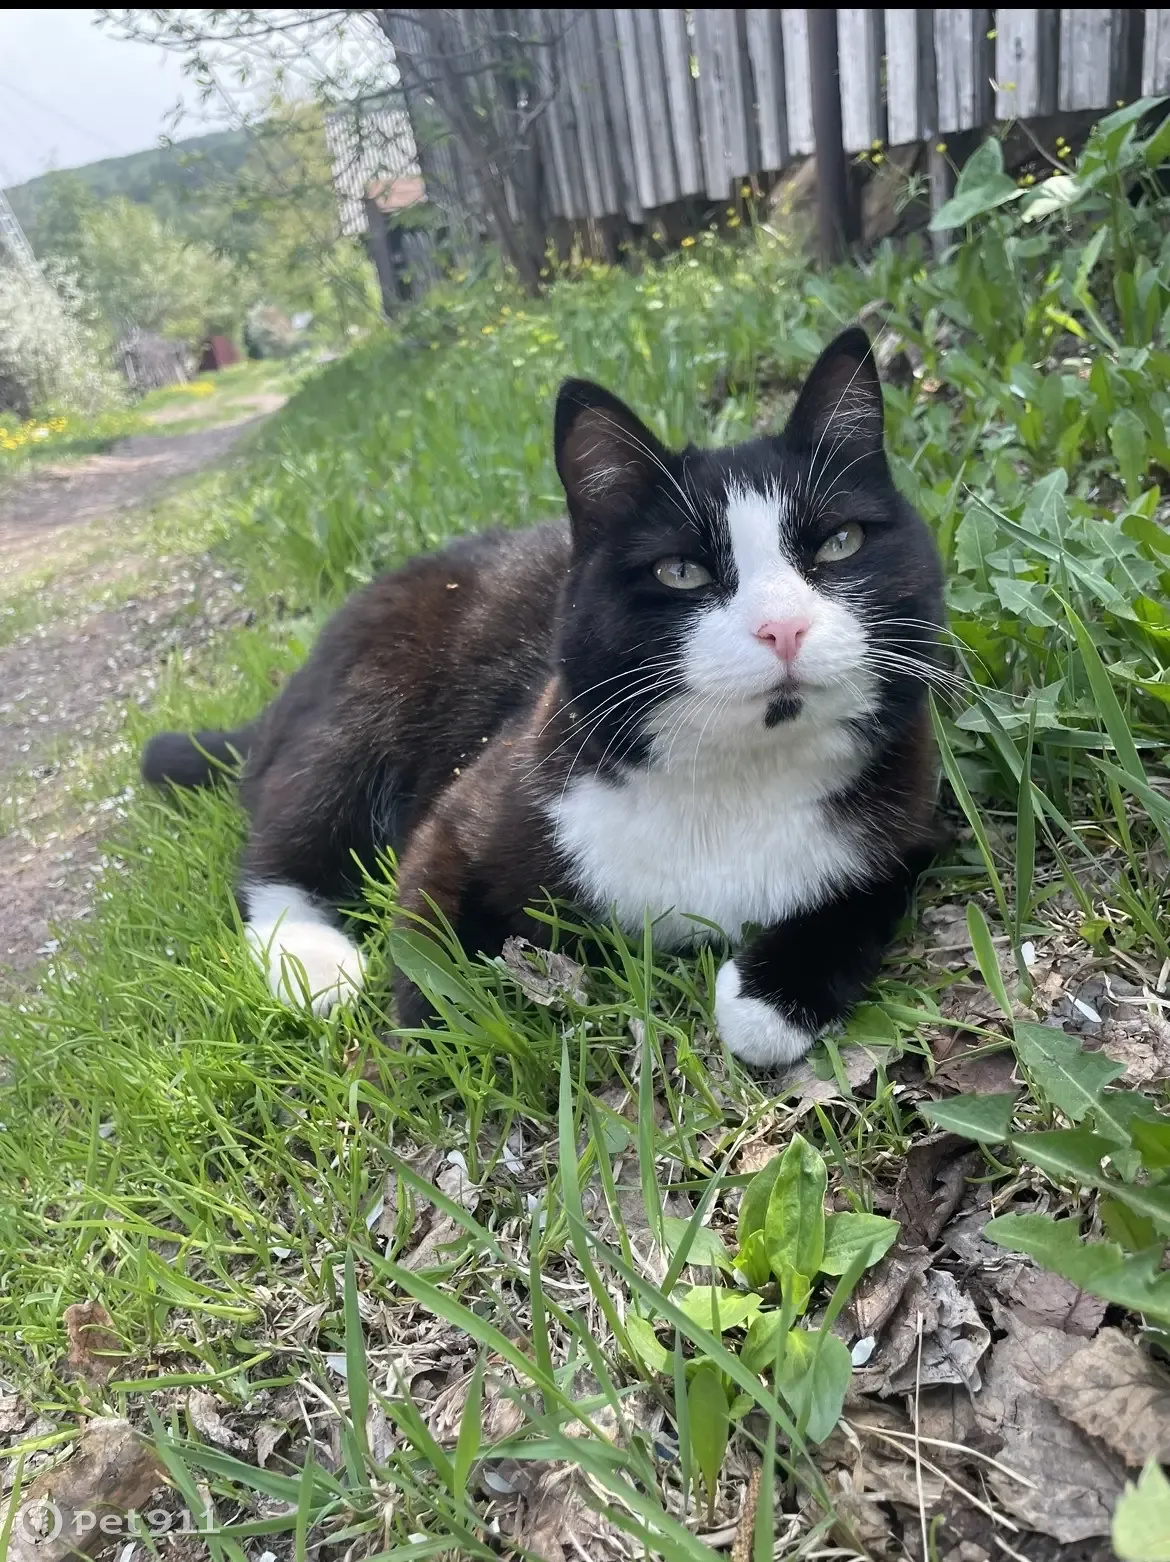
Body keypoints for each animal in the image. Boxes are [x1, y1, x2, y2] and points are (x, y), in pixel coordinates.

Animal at [142, 326, 945, 1067]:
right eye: (680, 571)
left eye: (840, 543)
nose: (784, 627)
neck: (736, 779)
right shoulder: (492, 789)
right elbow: (429, 928)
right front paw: (443, 1028)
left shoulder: (914, 802)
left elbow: (877, 887)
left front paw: (772, 998)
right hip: (364, 703)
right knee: (285, 836)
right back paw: (311, 955)